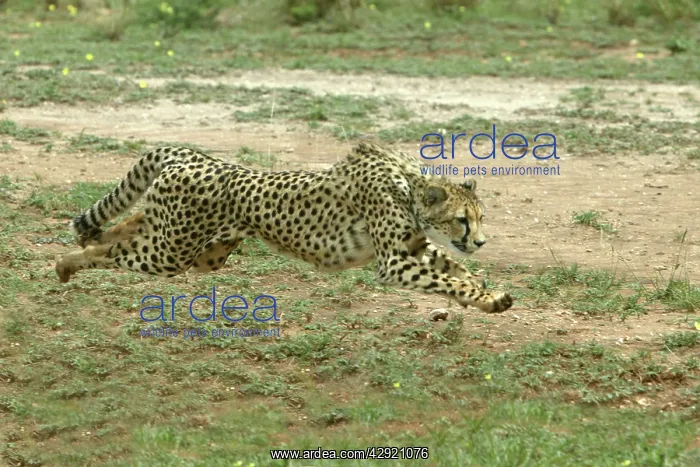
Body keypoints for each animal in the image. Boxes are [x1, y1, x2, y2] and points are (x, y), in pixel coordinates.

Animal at [55, 141, 514, 314]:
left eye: (481, 217)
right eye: (462, 219)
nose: (480, 240)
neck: (410, 186)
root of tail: (192, 154)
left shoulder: (415, 248)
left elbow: (455, 270)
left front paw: (484, 292)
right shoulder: (394, 263)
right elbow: (448, 279)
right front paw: (484, 296)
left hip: (200, 251)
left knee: (127, 224)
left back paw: (81, 247)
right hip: (171, 253)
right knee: (114, 252)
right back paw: (68, 262)